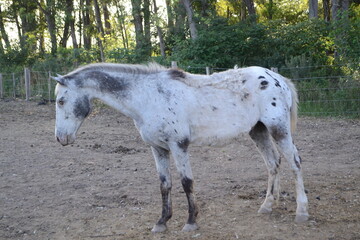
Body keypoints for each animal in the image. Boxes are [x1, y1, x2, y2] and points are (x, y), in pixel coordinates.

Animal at [53, 62, 310, 232]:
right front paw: (161, 222)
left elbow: (187, 183)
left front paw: (191, 222)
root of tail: (277, 78)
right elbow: (165, 185)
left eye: (61, 100)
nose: (61, 138)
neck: (148, 97)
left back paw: (301, 212)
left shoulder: (179, 146)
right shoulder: (158, 149)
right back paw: (267, 206)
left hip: (278, 129)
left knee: (295, 163)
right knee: (273, 163)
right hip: (258, 130)